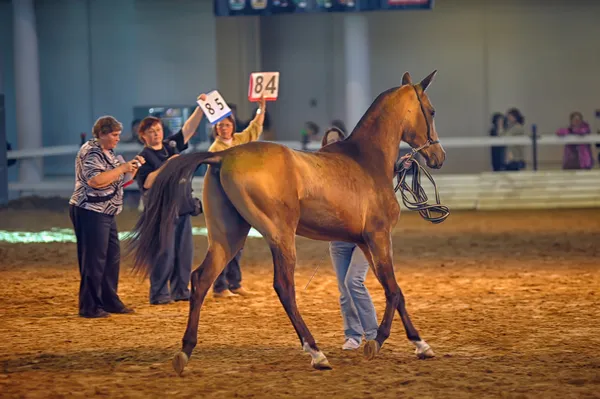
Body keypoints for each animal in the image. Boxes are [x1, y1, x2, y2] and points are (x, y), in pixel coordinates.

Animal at [127, 71, 446, 376]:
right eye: (431, 111)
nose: (438, 157)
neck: (367, 161)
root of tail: (223, 155)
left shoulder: (364, 242)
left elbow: (395, 291)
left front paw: (421, 345)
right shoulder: (379, 237)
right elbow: (393, 290)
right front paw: (378, 342)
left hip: (228, 236)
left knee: (201, 279)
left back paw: (185, 352)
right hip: (280, 235)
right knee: (284, 286)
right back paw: (316, 353)